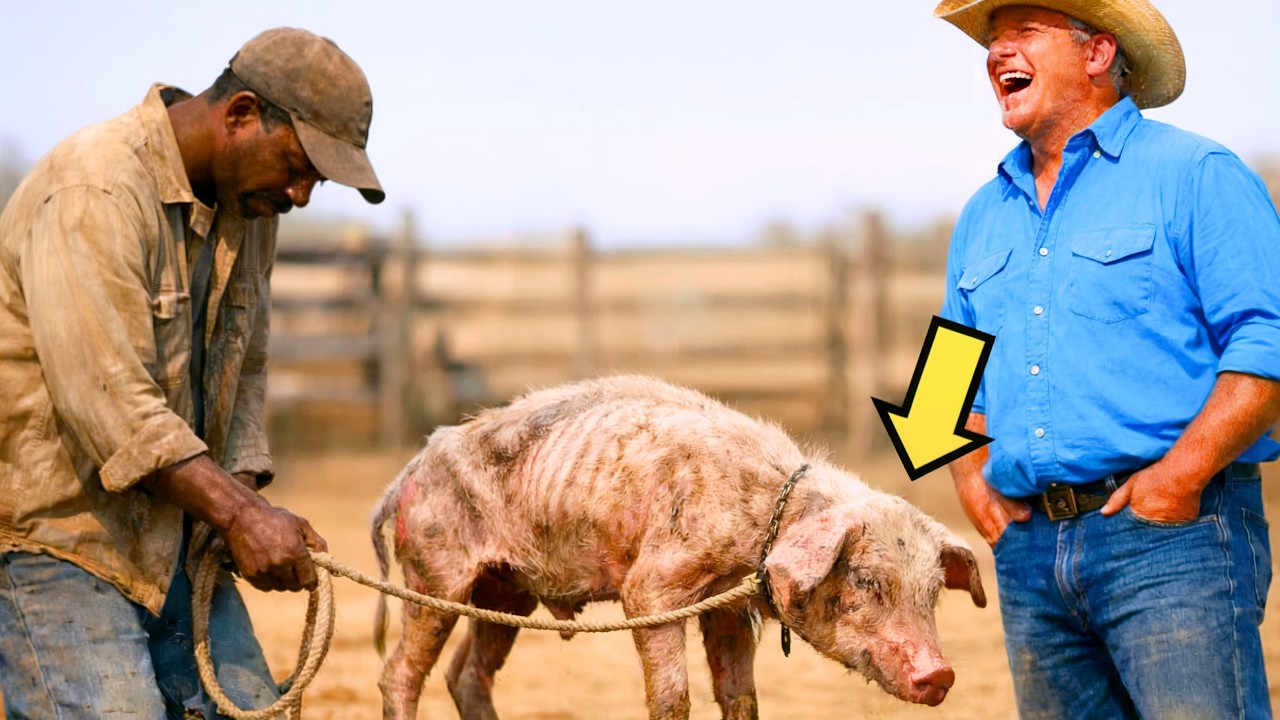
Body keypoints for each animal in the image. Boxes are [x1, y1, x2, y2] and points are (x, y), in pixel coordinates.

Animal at [371, 374, 986, 720]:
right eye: (865, 580)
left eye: (932, 592)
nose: (941, 674)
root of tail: (409, 472)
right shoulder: (653, 587)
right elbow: (672, 695)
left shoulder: (731, 608)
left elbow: (740, 695)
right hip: (434, 571)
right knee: (400, 673)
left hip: (505, 590)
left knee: (466, 674)